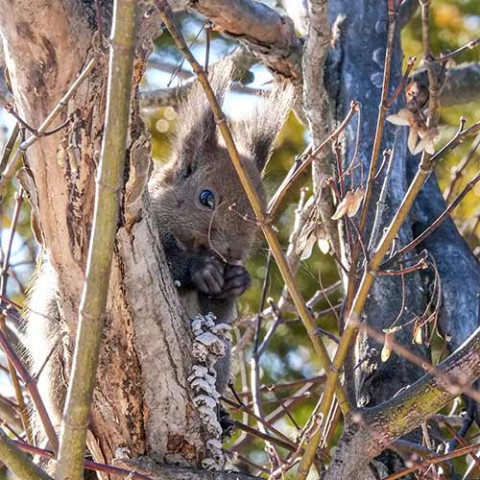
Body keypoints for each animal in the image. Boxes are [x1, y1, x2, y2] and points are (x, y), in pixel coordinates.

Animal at [20, 61, 294, 446]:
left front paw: (236, 280)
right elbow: (170, 261)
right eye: (205, 197)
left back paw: (222, 417)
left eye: (261, 209)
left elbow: (218, 306)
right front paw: (202, 270)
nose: (233, 251)